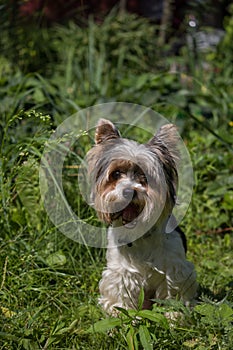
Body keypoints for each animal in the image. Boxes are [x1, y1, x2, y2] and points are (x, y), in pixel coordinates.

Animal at [86, 119, 198, 314]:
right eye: (116, 174)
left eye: (145, 176)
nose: (129, 191)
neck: (138, 233)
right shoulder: (121, 271)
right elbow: (122, 293)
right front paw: (121, 314)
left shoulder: (174, 268)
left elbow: (172, 292)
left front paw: (173, 316)